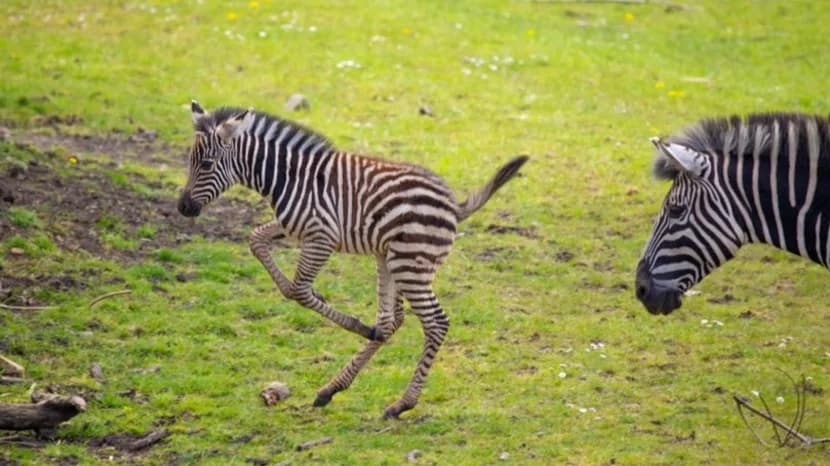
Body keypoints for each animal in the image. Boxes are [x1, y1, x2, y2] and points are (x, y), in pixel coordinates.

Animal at [177, 101, 528, 418]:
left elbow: (298, 290)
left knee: (435, 323)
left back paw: (402, 404)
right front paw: (343, 313)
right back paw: (334, 386)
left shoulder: (322, 237)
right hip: (390, 258)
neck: (287, 179)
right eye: (191, 161)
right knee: (390, 321)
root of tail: (454, 206)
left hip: (410, 265)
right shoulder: (294, 227)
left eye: (206, 164)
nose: (183, 208)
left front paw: (347, 318)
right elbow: (256, 241)